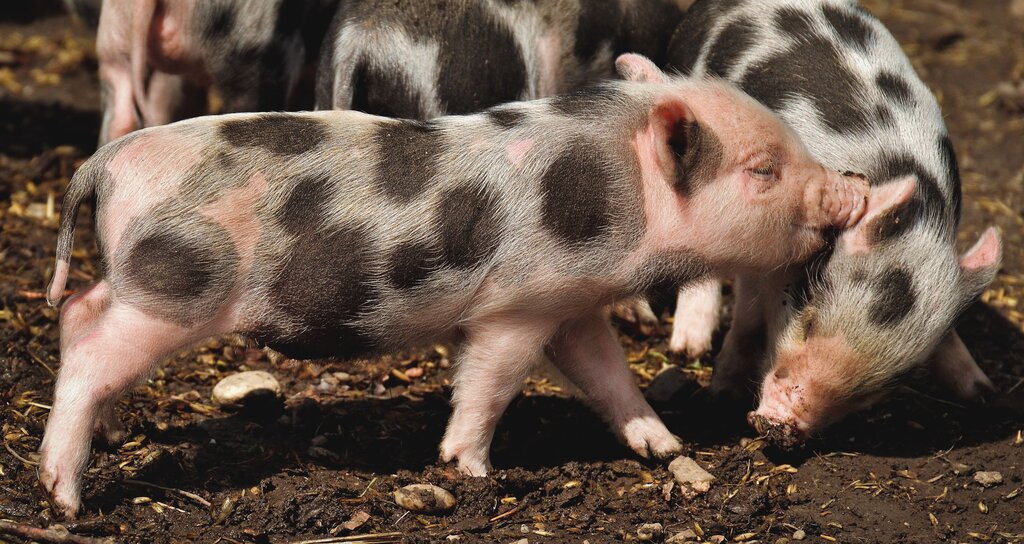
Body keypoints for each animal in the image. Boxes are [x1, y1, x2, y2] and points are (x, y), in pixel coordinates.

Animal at [39, 54, 871, 517]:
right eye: (761, 169)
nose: (855, 187)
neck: (614, 194)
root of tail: (105, 163)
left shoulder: (570, 305)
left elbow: (610, 379)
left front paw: (664, 446)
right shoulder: (517, 306)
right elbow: (488, 385)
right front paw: (471, 470)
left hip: (139, 283)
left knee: (79, 314)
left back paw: (107, 441)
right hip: (172, 286)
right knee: (89, 348)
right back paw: (65, 496)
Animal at [663, 0, 1001, 444]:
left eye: (875, 388)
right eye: (808, 320)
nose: (779, 425)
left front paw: (984, 395)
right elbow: (749, 314)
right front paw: (721, 392)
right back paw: (688, 347)